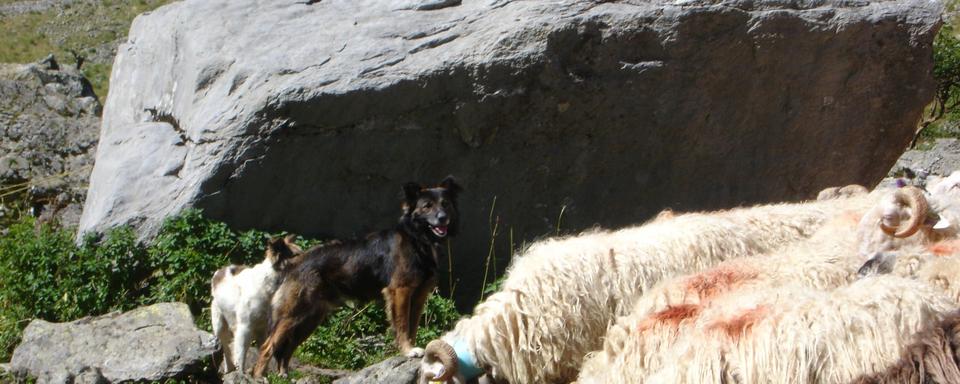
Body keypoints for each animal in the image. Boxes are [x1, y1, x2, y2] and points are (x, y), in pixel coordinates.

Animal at [211, 236, 302, 374]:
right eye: (296, 255)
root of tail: (219, 272)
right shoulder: (245, 328)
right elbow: (241, 355)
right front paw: (241, 374)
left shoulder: (263, 330)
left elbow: (264, 352)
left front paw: (262, 375)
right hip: (220, 326)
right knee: (225, 348)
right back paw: (229, 369)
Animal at [253, 176, 464, 376]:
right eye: (427, 206)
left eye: (445, 204)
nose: (443, 218)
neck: (417, 238)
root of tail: (294, 263)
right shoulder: (400, 291)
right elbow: (403, 325)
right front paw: (407, 350)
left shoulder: (419, 295)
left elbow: (412, 327)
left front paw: (413, 350)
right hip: (294, 313)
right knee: (267, 347)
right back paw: (260, 376)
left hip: (310, 318)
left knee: (287, 348)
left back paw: (283, 375)